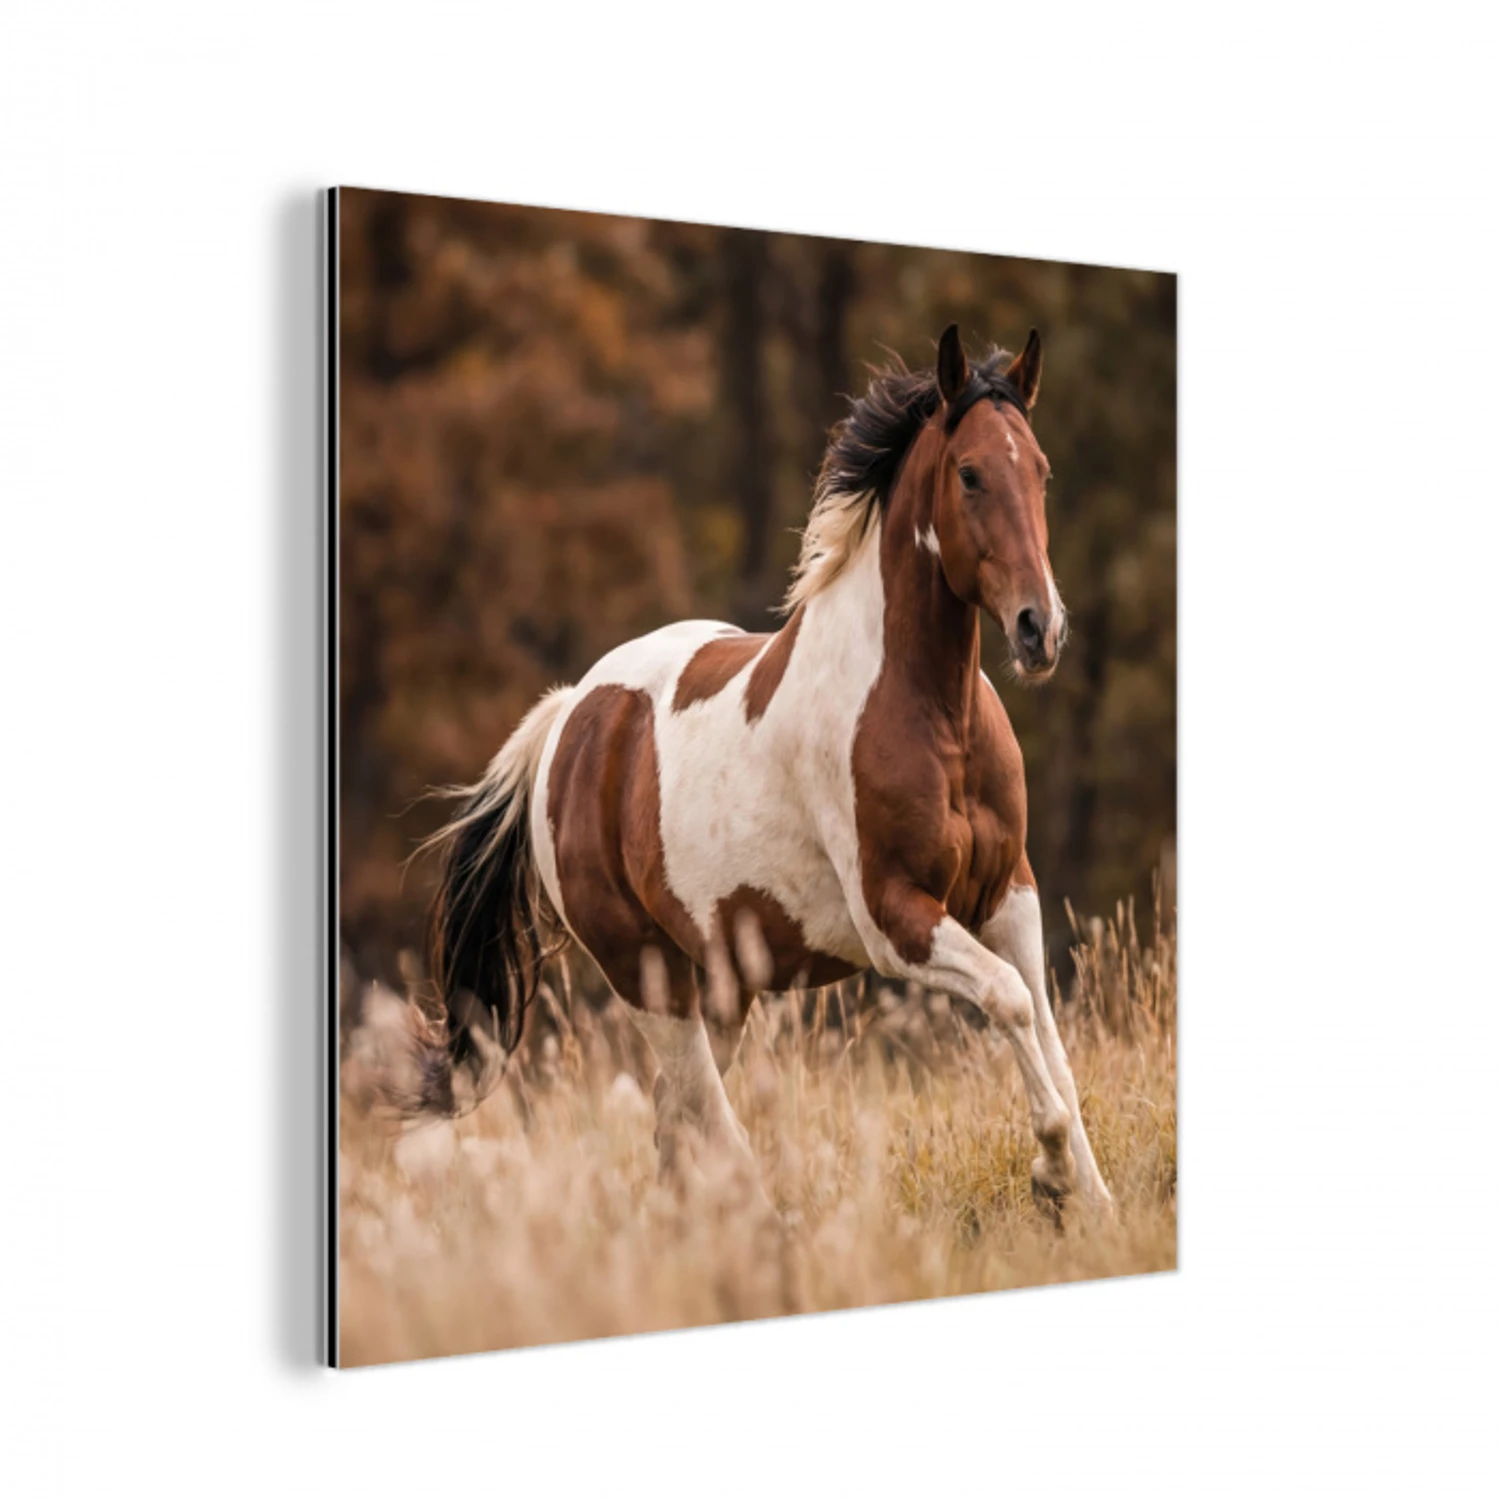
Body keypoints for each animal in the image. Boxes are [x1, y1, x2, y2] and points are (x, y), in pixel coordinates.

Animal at [418, 324, 1114, 1220]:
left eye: (1041, 471)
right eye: (969, 473)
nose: (1039, 630)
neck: (933, 715)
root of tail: (569, 717)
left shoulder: (1008, 897)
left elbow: (1050, 1037)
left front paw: (1094, 1204)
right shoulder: (896, 919)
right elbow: (1010, 1000)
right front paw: (1051, 1174)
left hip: (721, 985)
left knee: (676, 1127)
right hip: (649, 977)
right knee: (705, 1124)